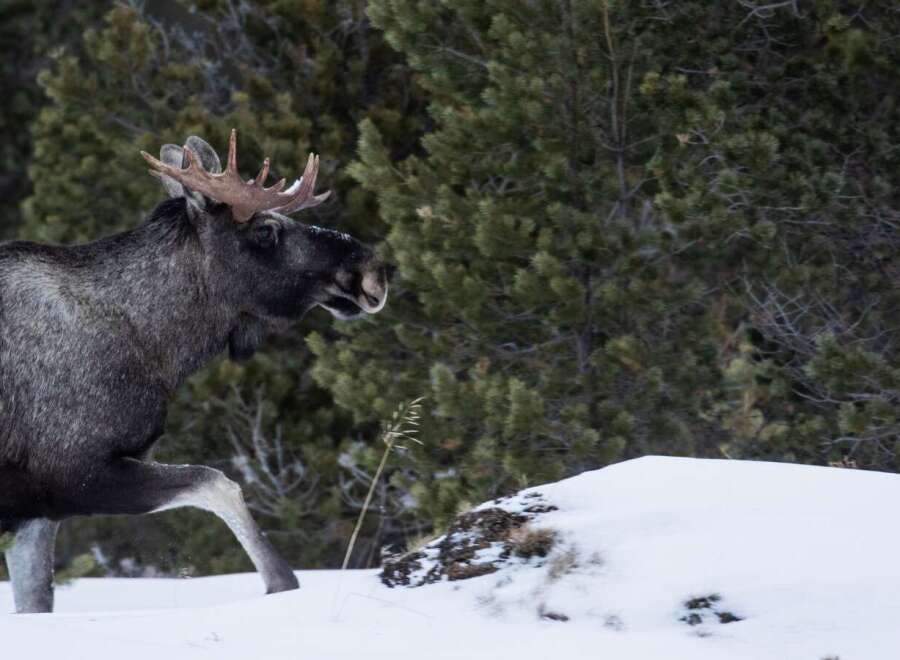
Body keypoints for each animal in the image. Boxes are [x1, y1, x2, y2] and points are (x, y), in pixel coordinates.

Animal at [0, 130, 388, 613]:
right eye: (265, 230)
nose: (372, 270)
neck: (159, 348)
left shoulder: (33, 508)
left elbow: (35, 600)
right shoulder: (72, 471)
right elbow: (218, 483)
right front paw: (281, 582)